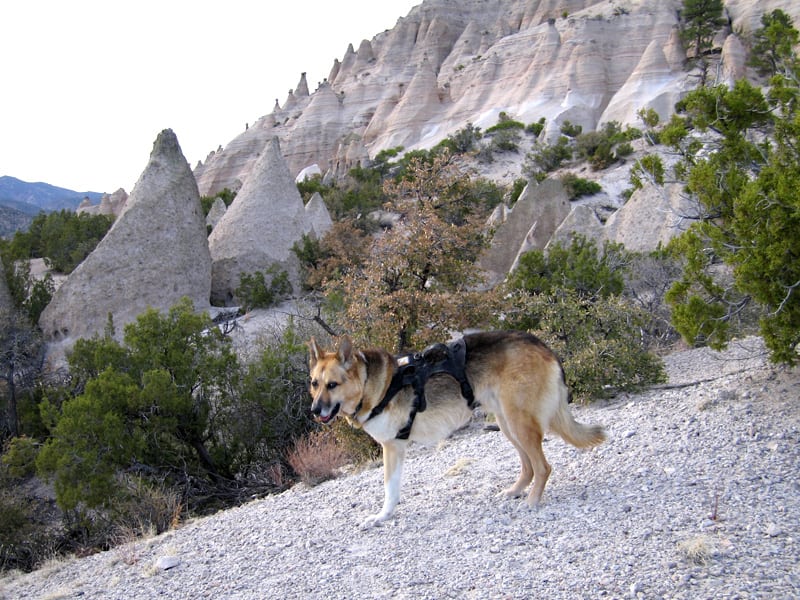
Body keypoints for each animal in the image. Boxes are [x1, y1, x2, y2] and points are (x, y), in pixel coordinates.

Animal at [308, 330, 608, 528]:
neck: (371, 384)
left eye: (332, 385)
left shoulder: (392, 447)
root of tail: (541, 344)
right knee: (529, 467)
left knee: (543, 467)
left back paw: (532, 501)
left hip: (519, 423)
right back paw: (514, 491)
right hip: (508, 424)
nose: (314, 411)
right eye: (314, 384)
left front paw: (382, 516)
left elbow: (389, 490)